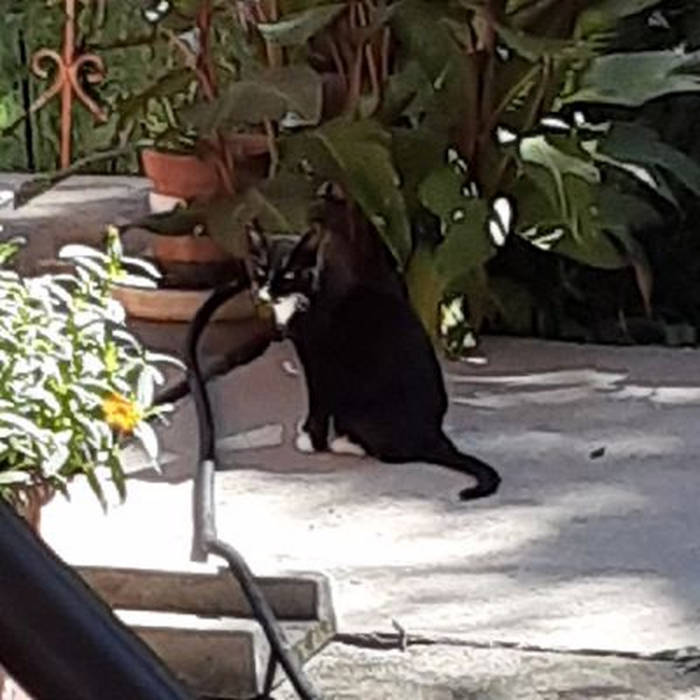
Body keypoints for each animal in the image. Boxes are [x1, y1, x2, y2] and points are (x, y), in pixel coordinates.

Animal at [249, 200, 501, 501]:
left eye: (288, 274)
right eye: (261, 270)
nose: (267, 292)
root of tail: (435, 437)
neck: (309, 292)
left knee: (392, 455)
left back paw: (346, 444)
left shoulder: (319, 363)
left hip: (358, 408)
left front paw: (311, 440)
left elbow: (318, 404)